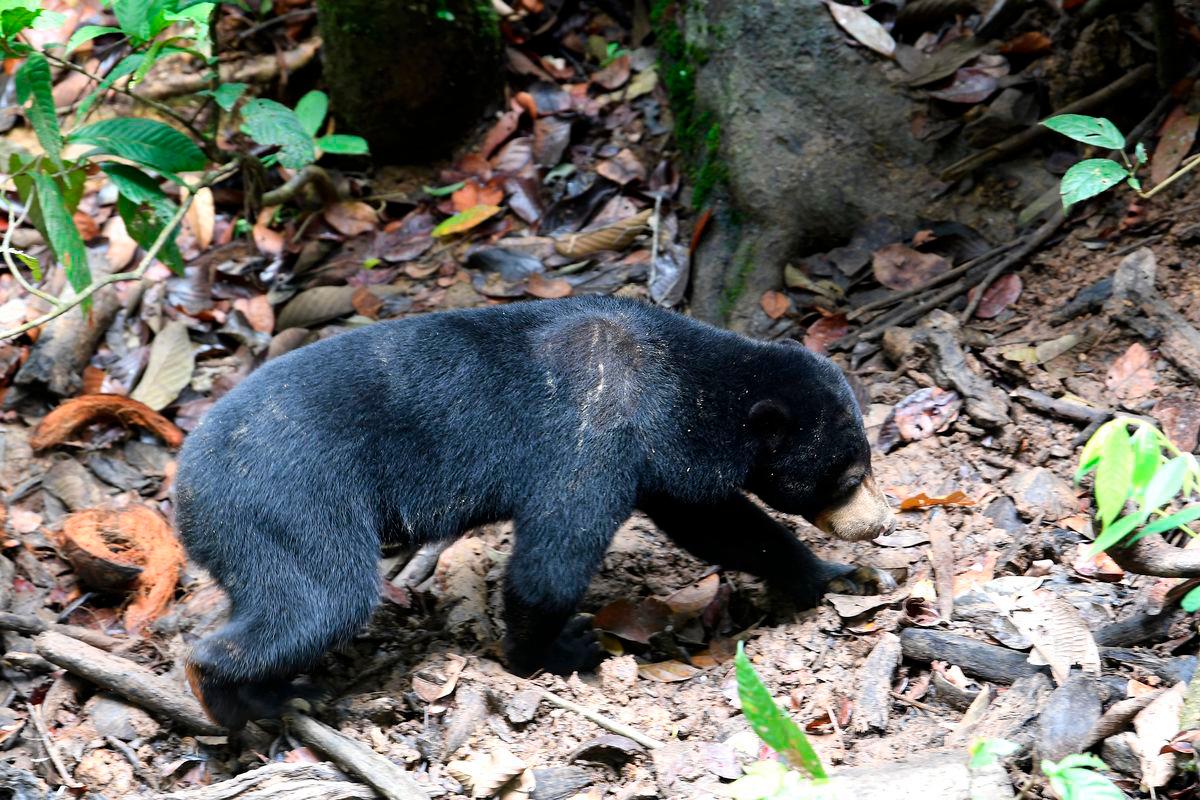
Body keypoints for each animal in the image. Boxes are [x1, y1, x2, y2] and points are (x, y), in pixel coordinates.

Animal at [174, 295, 894, 728]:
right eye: (847, 475)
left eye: (866, 462)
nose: (881, 522)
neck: (678, 383)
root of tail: (184, 491)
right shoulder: (594, 435)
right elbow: (553, 559)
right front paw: (545, 653)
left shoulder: (661, 460)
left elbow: (721, 524)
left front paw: (836, 576)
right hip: (285, 506)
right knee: (319, 600)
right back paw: (245, 694)